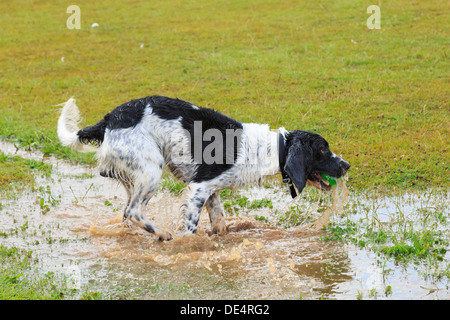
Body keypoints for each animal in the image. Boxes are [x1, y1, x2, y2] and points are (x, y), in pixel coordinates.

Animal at [58, 95, 350, 240]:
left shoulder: (212, 192)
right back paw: (162, 234)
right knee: (134, 212)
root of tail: (109, 119)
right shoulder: (199, 188)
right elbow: (191, 228)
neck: (267, 147)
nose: (346, 165)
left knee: (126, 214)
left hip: (134, 176)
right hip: (151, 170)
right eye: (322, 150)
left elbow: (220, 224)